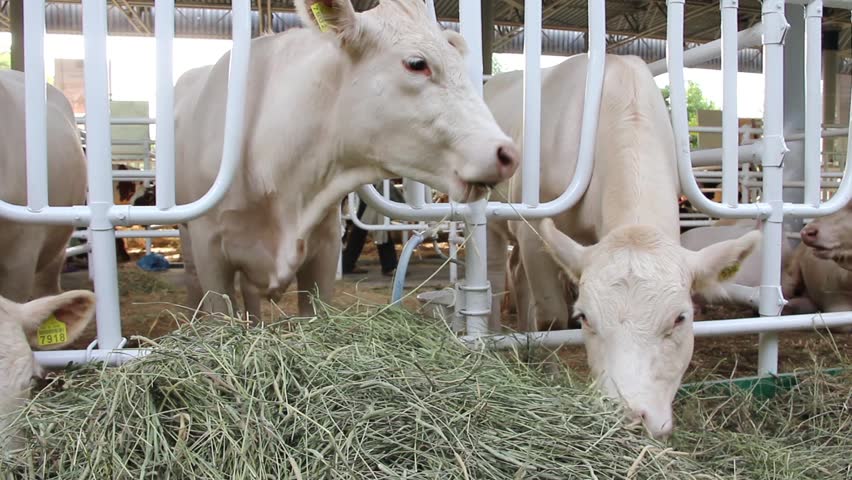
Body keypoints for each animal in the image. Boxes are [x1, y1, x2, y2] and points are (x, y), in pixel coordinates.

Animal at [483, 54, 760, 439]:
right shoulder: (532, 229)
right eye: (584, 317)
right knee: (497, 276)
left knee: (518, 276)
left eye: (681, 318)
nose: (629, 416)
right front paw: (550, 375)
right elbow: (553, 316)